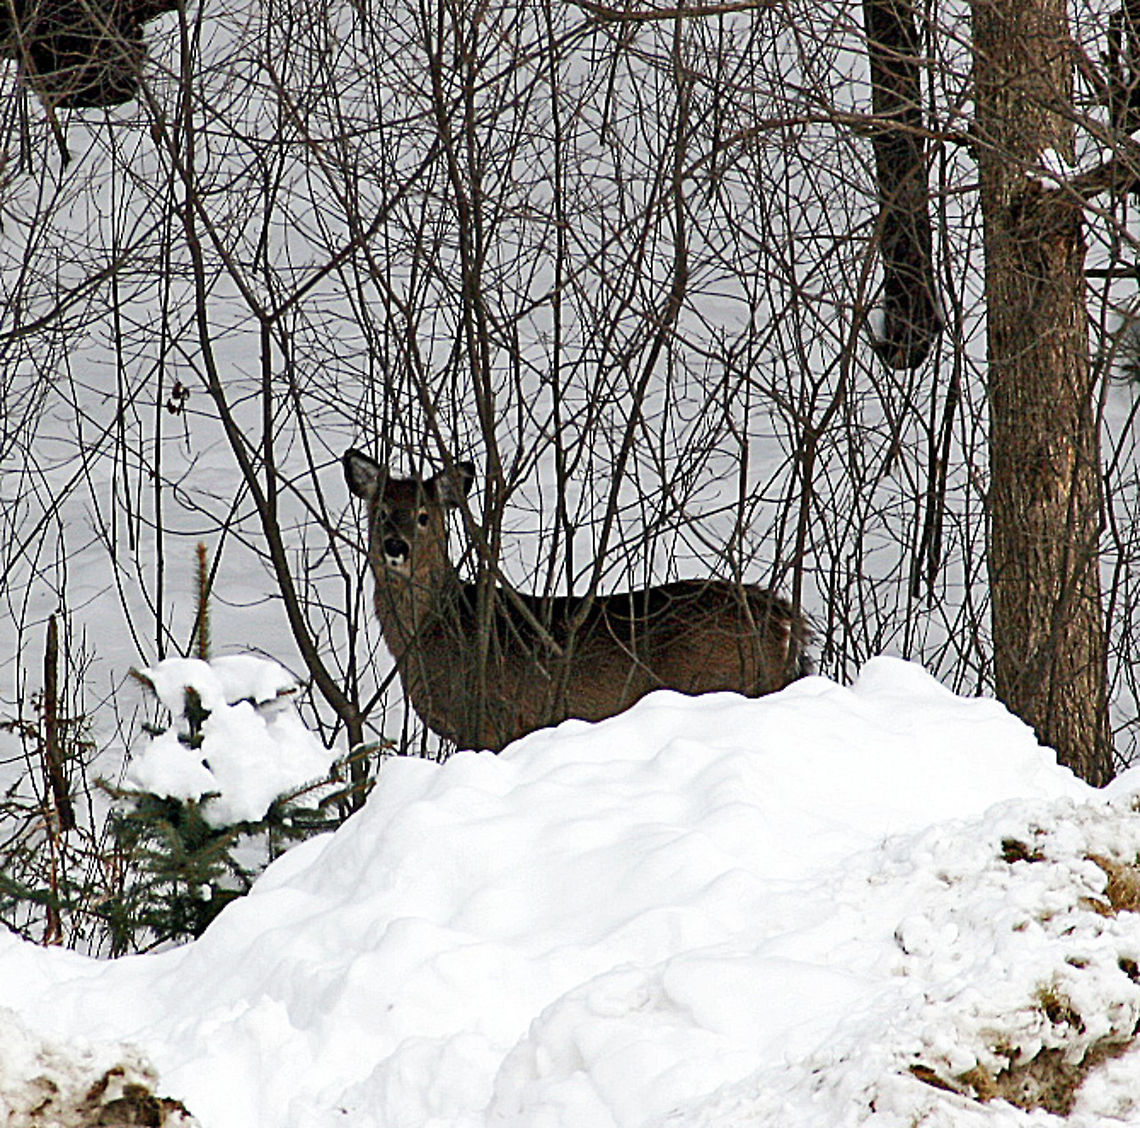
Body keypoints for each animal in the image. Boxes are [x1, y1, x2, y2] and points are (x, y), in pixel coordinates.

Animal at [344, 448, 811, 752]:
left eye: (424, 516)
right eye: (380, 512)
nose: (395, 546)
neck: (441, 629)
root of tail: (784, 620)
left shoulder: (492, 722)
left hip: (718, 681)